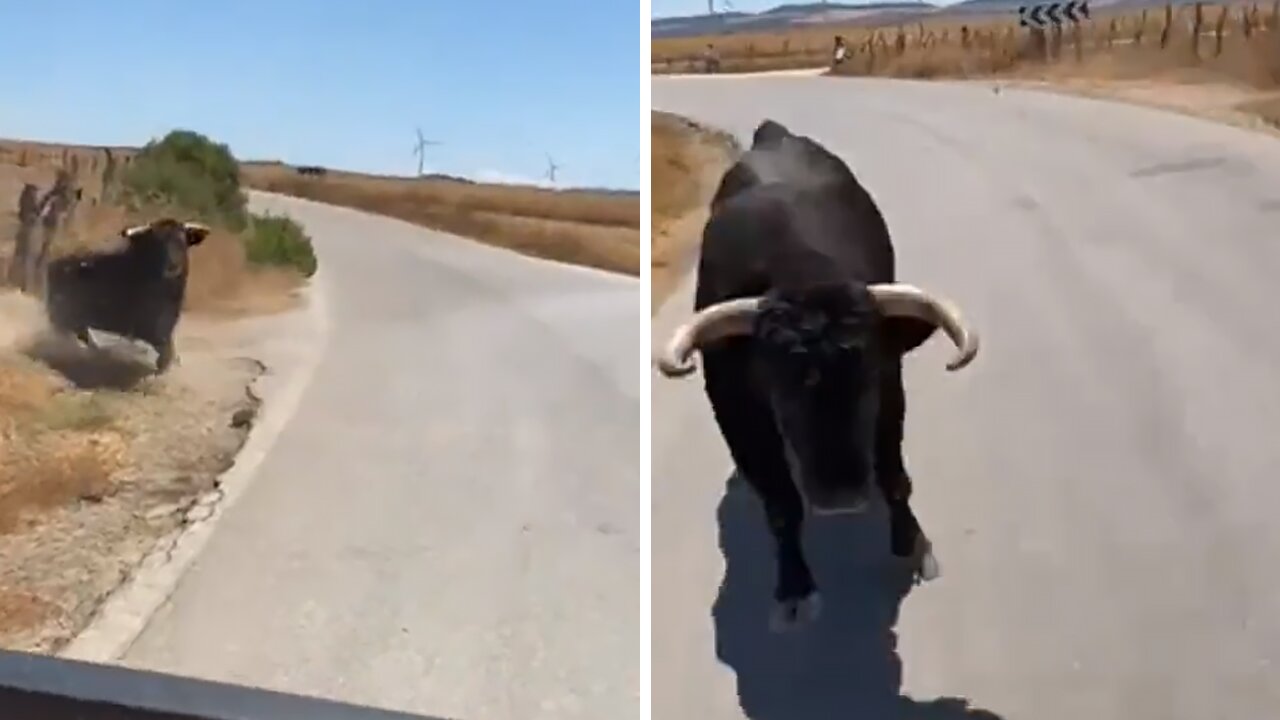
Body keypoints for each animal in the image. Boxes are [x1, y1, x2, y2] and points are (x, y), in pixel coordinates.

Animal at [44, 215, 209, 371]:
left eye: (183, 240)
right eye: (158, 242)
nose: (173, 266)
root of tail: (53, 265)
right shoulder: (148, 326)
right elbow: (164, 346)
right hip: (64, 315)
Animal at [655, 119, 983, 627]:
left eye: (866, 380)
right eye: (779, 388)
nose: (840, 496)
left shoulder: (891, 389)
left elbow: (895, 477)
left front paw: (912, 544)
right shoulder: (736, 411)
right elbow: (781, 504)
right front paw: (794, 587)